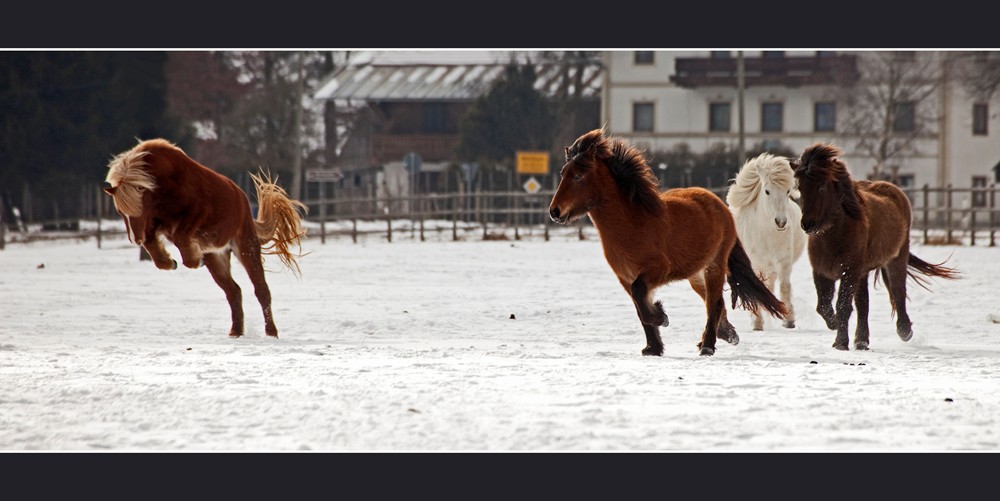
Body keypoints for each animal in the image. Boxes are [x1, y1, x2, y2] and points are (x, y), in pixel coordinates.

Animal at [103, 139, 308, 338]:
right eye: (120, 211)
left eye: (140, 207)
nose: (134, 239)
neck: (163, 184)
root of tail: (241, 197)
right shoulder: (155, 226)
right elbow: (156, 249)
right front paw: (171, 262)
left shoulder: (196, 213)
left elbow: (181, 237)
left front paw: (192, 259)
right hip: (216, 257)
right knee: (234, 291)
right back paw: (236, 331)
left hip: (246, 248)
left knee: (262, 291)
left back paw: (271, 332)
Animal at [548, 129, 788, 356]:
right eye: (563, 173)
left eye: (578, 176)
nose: (554, 211)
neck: (632, 224)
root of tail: (719, 204)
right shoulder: (625, 277)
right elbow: (639, 307)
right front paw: (653, 347)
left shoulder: (655, 271)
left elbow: (640, 298)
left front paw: (661, 317)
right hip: (695, 274)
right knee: (710, 301)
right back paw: (725, 334)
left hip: (715, 265)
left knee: (715, 302)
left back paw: (708, 346)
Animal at [728, 152, 804, 332]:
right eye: (767, 191)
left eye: (787, 191)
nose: (781, 222)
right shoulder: (755, 263)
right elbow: (755, 287)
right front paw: (757, 322)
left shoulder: (783, 261)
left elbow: (784, 287)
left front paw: (789, 320)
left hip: (771, 268)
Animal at [788, 143, 960, 350]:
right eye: (800, 187)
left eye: (822, 186)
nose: (808, 224)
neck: (833, 236)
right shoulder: (822, 272)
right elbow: (823, 306)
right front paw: (835, 326)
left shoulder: (849, 271)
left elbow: (843, 306)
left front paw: (840, 342)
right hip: (862, 272)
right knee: (864, 303)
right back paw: (862, 341)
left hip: (896, 259)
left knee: (898, 291)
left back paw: (904, 331)